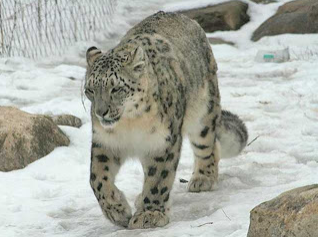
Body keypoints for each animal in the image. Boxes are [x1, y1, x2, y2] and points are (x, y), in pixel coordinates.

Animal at [85, 11, 248, 230]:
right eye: (90, 90)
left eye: (116, 88)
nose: (100, 112)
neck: (130, 124)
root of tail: (182, 16)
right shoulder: (105, 142)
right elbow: (97, 179)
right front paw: (118, 211)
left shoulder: (163, 142)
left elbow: (158, 179)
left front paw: (149, 214)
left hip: (203, 113)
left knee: (208, 145)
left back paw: (203, 178)